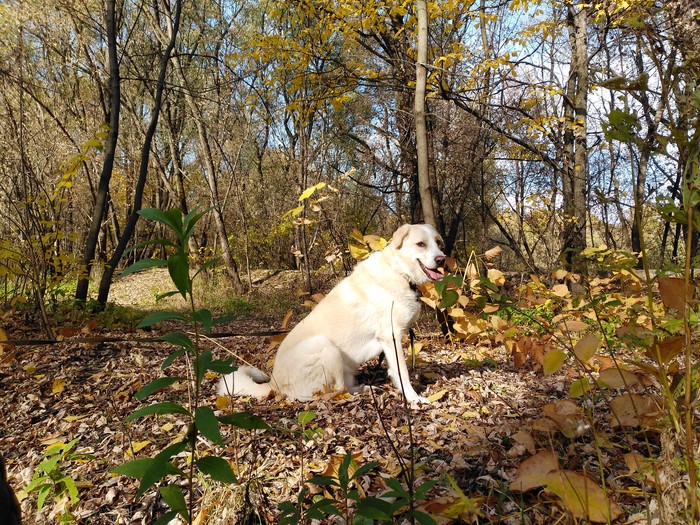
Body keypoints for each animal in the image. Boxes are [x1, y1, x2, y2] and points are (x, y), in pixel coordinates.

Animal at [219, 223, 446, 404]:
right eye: (421, 244)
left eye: (438, 243)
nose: (442, 259)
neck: (400, 273)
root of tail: (274, 385)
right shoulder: (391, 337)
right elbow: (402, 373)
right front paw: (414, 398)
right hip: (324, 346)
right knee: (335, 391)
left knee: (344, 387)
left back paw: (365, 388)